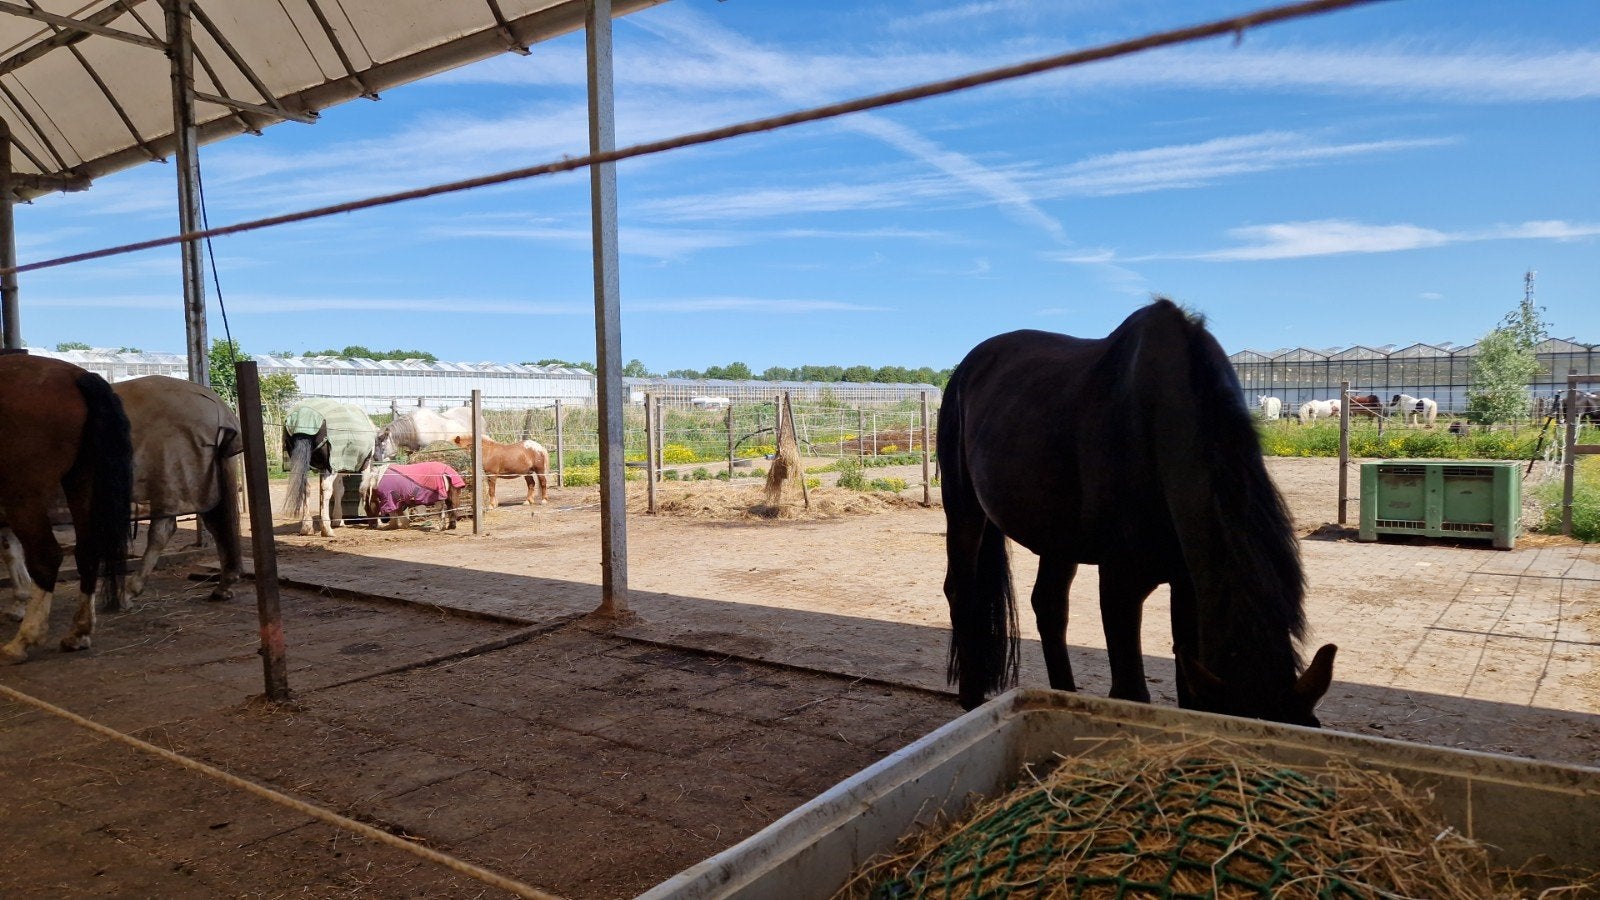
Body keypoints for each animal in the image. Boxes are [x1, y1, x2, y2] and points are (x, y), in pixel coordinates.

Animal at [0, 355, 133, 663]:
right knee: (88, 551)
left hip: (22, 495)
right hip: (82, 480)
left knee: (45, 556)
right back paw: (78, 632)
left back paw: (23, 641)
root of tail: (76, 376)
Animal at [283, 398, 377, 536]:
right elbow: (363, 489)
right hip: (330, 468)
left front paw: (338, 520)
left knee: (306, 488)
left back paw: (307, 527)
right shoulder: (364, 465)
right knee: (326, 489)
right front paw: (373, 520)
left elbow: (339, 491)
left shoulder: (337, 467)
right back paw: (326, 529)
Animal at [938, 299, 1336, 726]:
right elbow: (1130, 692)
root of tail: (967, 367)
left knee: (1049, 605)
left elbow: (1188, 692)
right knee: (962, 590)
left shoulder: (1188, 585)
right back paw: (972, 696)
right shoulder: (1120, 583)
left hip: (1058, 539)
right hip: (964, 511)